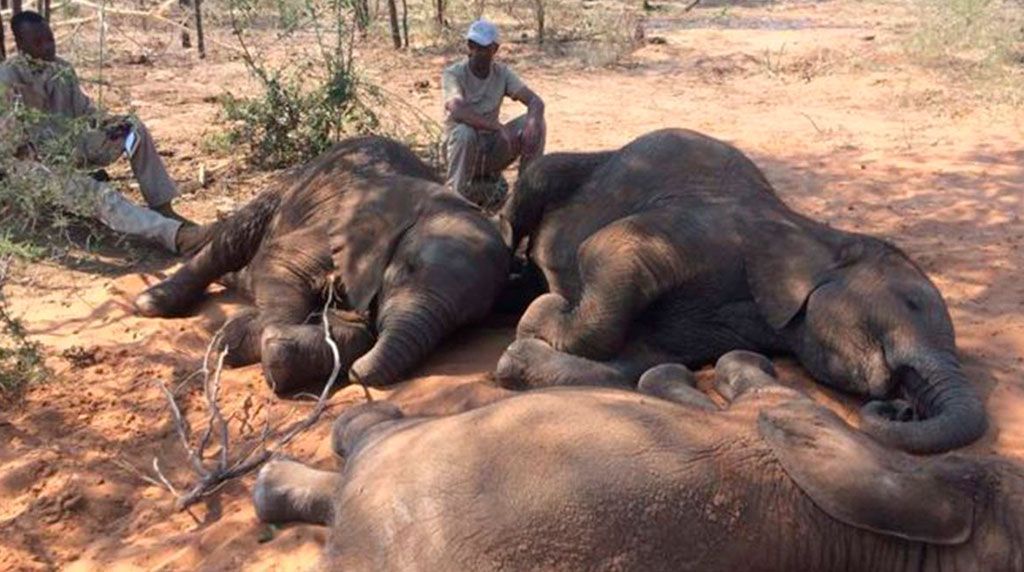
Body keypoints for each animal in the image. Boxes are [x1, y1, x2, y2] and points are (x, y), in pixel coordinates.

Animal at [135, 136, 509, 393]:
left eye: (465, 324)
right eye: (408, 269)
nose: (357, 373)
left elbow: (359, 331)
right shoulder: (334, 228)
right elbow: (281, 261)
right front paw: (244, 340)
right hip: (285, 188)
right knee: (233, 241)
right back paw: (152, 302)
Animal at [493, 128, 987, 454]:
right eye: (912, 303)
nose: (903, 410)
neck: (817, 235)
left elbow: (638, 358)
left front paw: (521, 353)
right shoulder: (713, 231)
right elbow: (609, 248)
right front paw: (543, 312)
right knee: (534, 184)